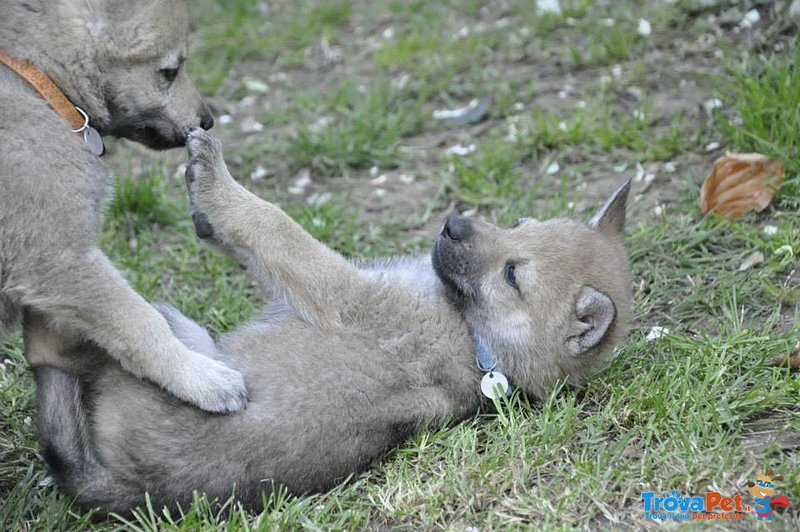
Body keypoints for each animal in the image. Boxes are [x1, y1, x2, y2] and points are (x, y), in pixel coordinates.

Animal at [0, 0, 247, 414]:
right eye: (170, 70)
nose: (207, 120)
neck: (37, 77)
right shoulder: (60, 259)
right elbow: (142, 323)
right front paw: (202, 377)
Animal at [29, 130, 632, 516]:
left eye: (512, 274)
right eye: (520, 222)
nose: (453, 224)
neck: (480, 343)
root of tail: (117, 486)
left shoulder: (341, 292)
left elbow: (275, 227)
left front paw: (214, 183)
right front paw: (208, 217)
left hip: (161, 340)